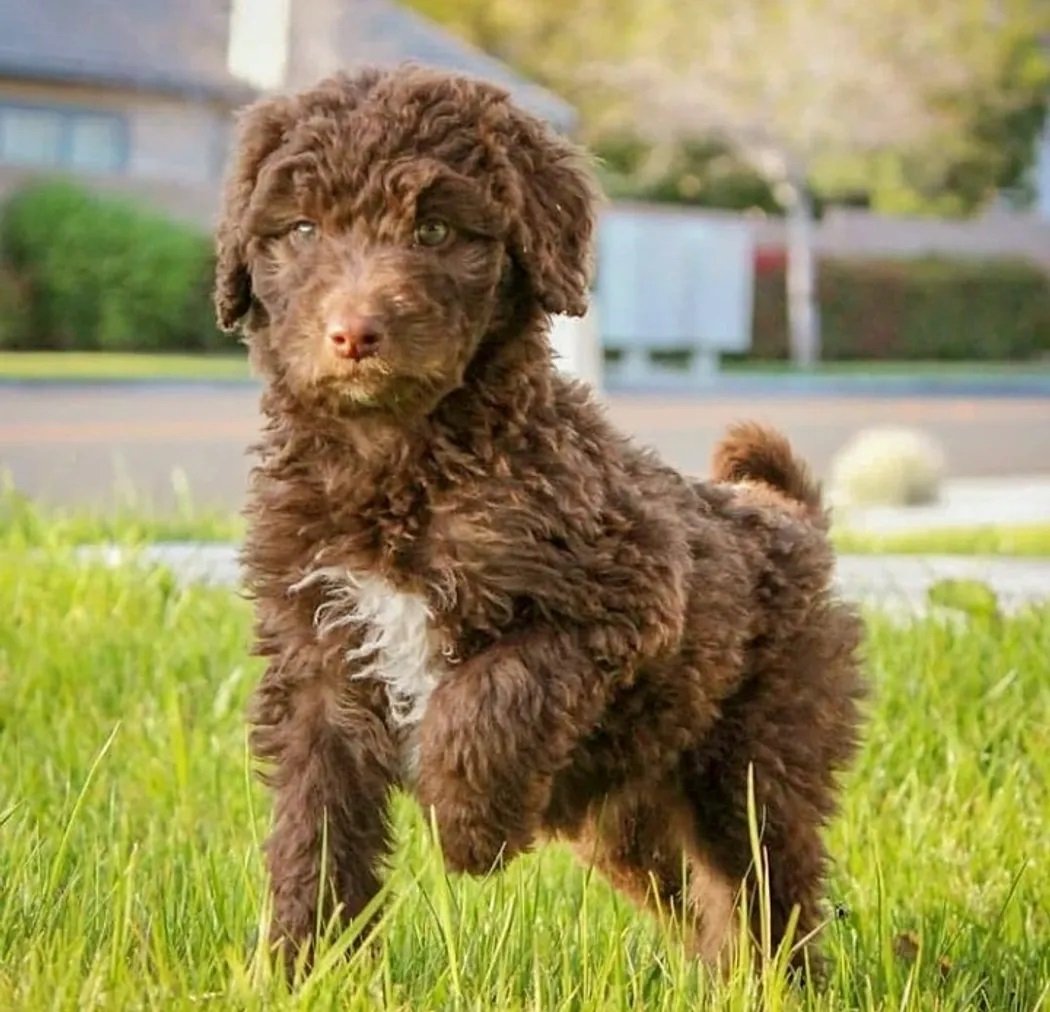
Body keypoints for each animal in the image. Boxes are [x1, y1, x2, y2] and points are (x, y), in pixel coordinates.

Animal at [213, 65, 860, 978]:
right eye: (302, 230)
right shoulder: (316, 662)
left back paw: (781, 983)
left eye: (435, 229)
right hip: (627, 813)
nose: (353, 334)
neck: (400, 464)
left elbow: (492, 693)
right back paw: (717, 978)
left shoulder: (623, 598)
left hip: (758, 751)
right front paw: (306, 967)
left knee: (768, 880)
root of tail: (786, 515)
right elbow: (316, 830)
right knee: (691, 893)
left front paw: (468, 828)